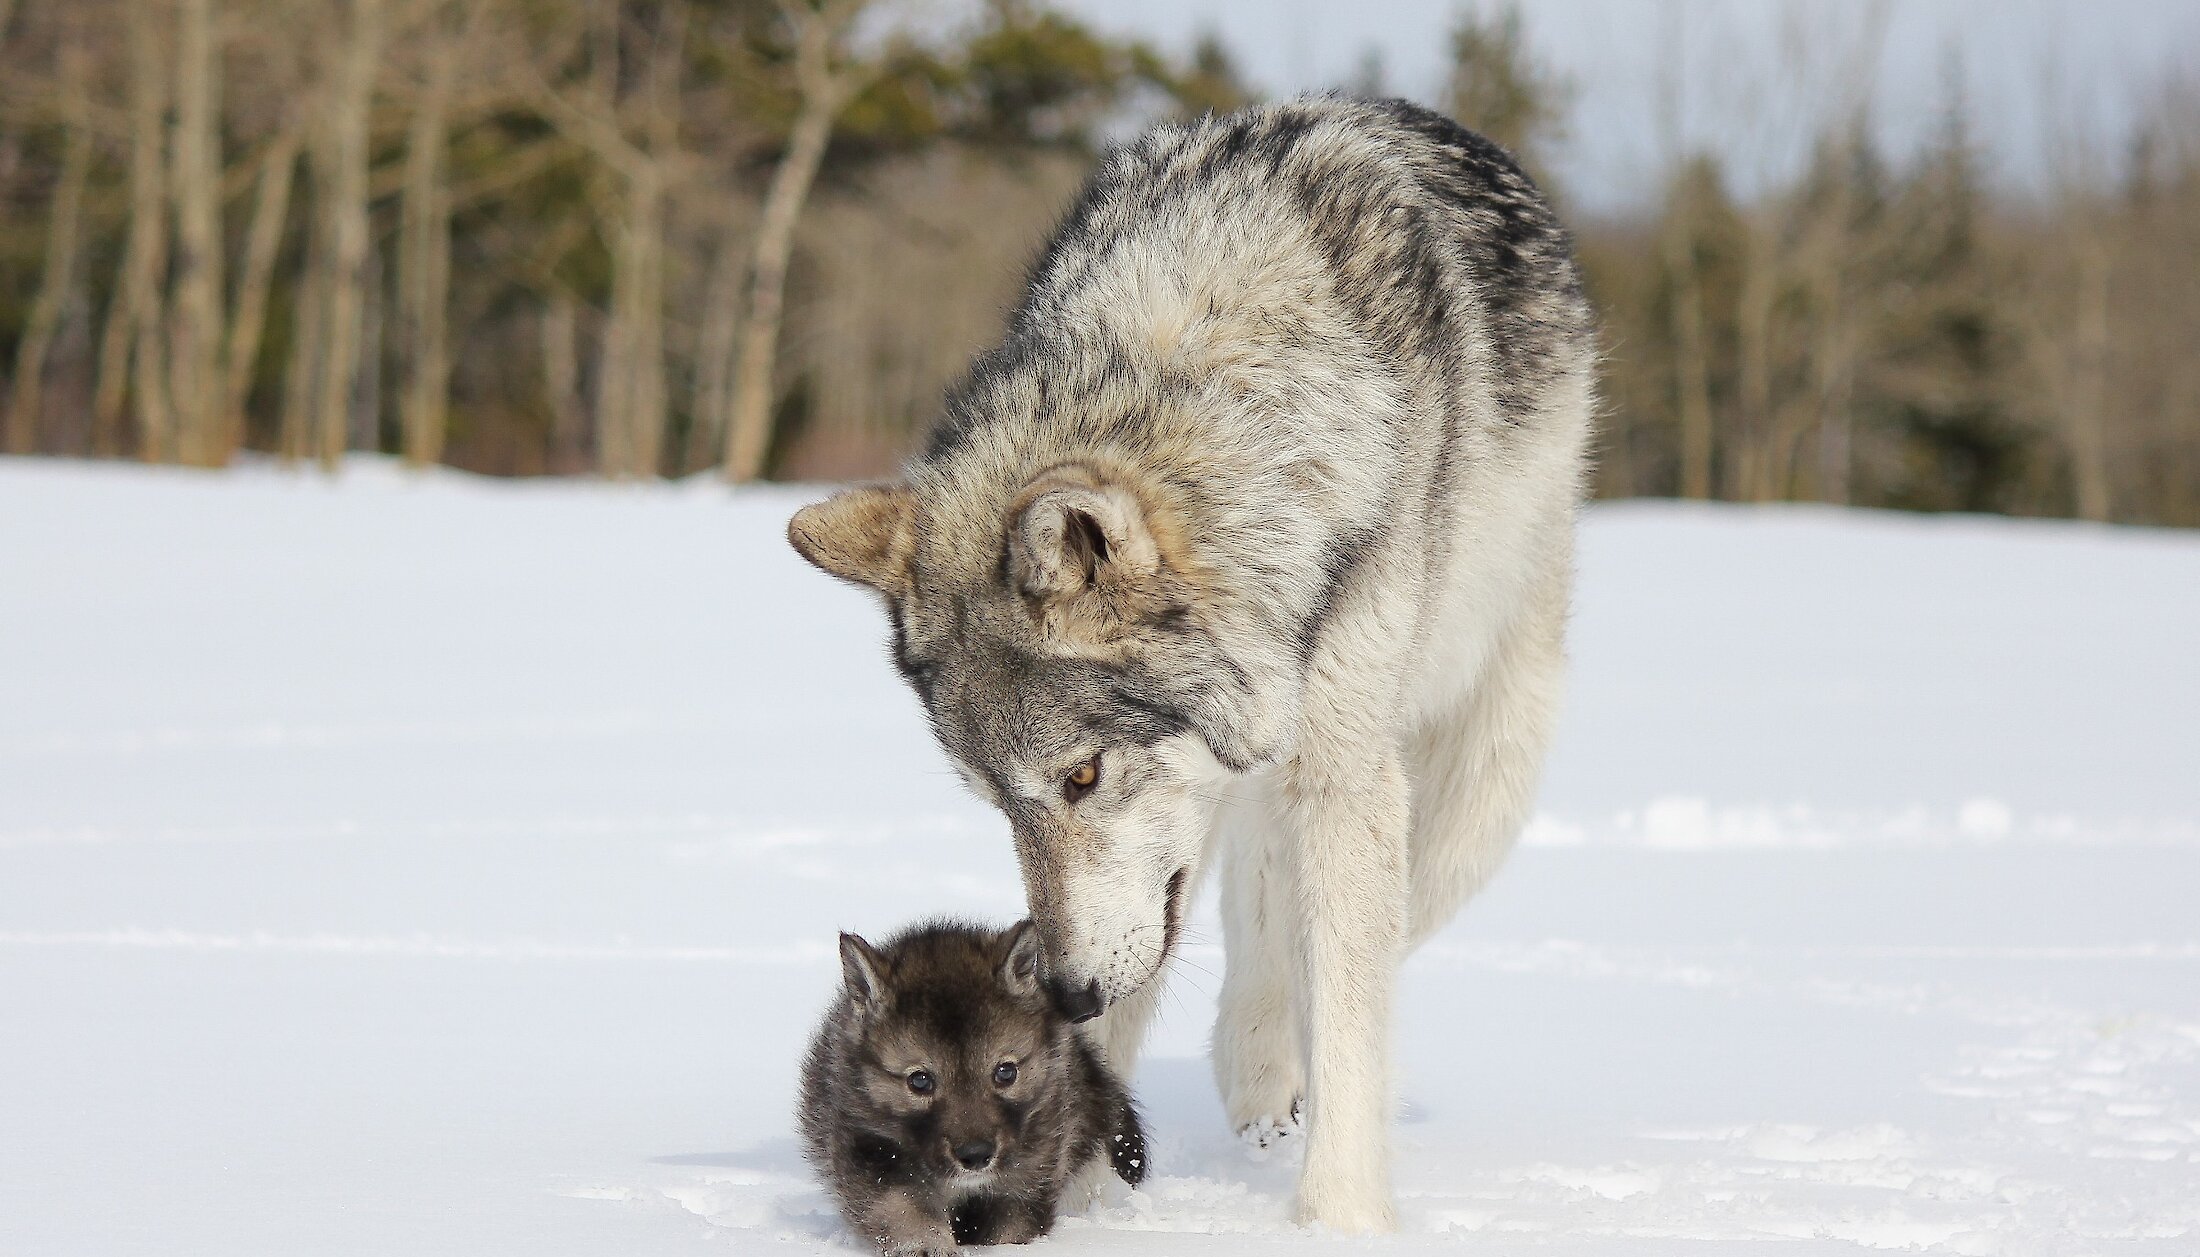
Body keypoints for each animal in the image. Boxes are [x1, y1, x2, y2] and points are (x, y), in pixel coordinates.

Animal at [809, 920, 1152, 1250]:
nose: (976, 1156)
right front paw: (926, 1245)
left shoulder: (1032, 1174)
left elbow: (1008, 1230)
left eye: (1006, 1073)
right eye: (920, 1080)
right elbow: (900, 1208)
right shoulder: (869, 1149)